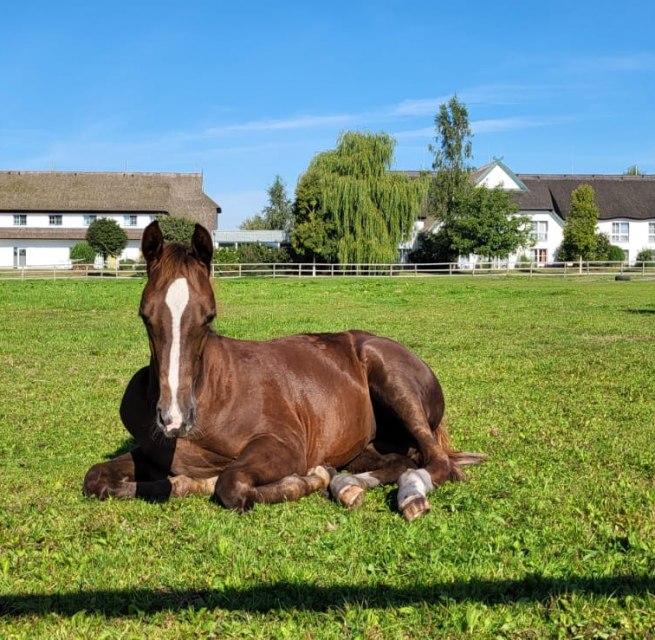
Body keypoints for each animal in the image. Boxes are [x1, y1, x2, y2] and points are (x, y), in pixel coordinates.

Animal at [83, 221, 486, 520]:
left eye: (209, 316)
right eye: (145, 316)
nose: (173, 419)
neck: (213, 392)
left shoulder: (285, 447)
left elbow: (231, 484)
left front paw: (304, 481)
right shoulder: (150, 456)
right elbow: (96, 478)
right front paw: (186, 483)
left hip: (393, 381)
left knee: (435, 463)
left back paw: (405, 496)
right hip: (368, 445)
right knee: (398, 461)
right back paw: (346, 484)